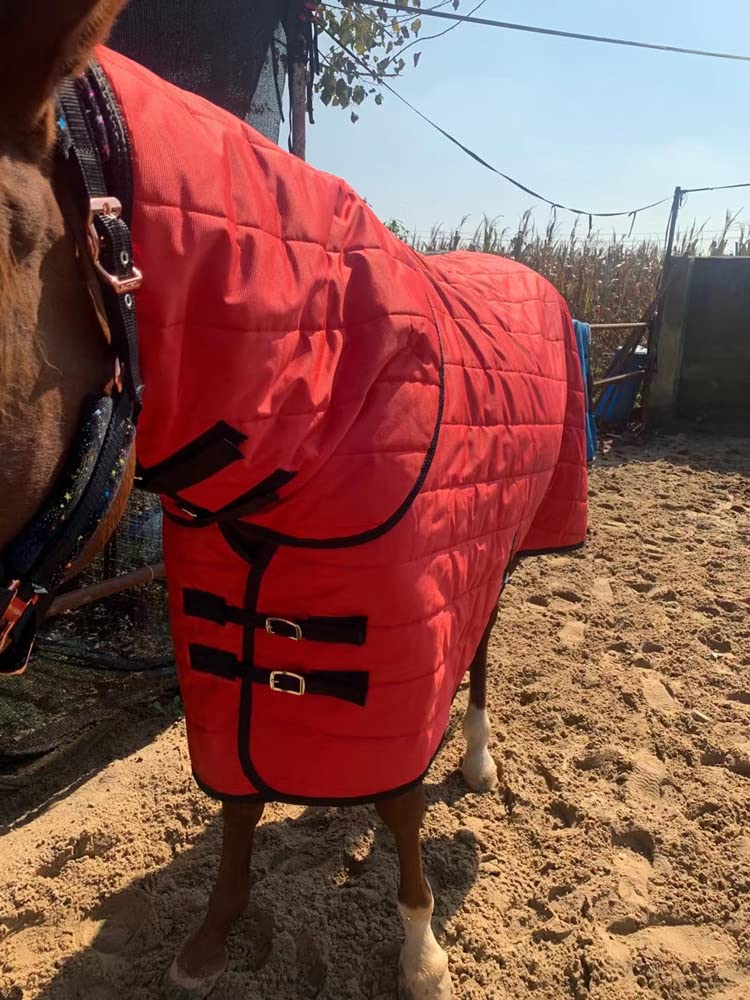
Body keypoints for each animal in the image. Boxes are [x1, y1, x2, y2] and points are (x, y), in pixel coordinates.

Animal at [0, 3, 588, 998]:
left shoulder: (397, 650)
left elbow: (398, 801)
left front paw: (421, 952)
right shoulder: (221, 655)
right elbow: (238, 800)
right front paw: (211, 936)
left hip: (494, 561)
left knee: (476, 659)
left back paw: (474, 761)